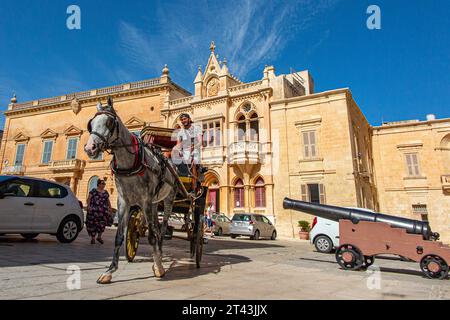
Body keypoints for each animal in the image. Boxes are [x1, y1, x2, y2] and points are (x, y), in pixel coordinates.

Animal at [84, 99, 178, 284]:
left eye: (109, 122)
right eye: (90, 124)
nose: (90, 148)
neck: (131, 162)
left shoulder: (145, 200)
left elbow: (151, 236)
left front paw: (158, 267)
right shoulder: (123, 201)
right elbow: (119, 236)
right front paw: (110, 270)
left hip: (168, 201)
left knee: (162, 230)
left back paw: (160, 255)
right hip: (155, 204)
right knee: (156, 228)